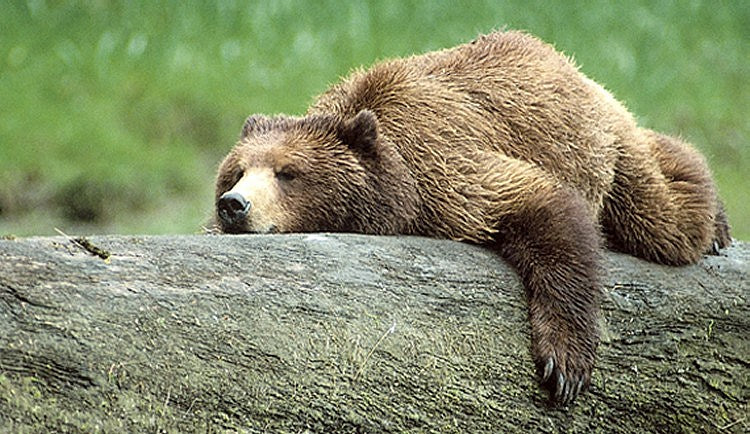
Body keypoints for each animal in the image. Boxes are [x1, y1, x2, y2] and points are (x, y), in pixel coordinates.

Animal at [213, 30, 732, 405]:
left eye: (287, 172)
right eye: (236, 172)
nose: (234, 205)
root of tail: (566, 63)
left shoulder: (446, 170)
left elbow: (542, 206)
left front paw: (564, 364)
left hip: (603, 148)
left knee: (662, 219)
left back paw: (712, 218)